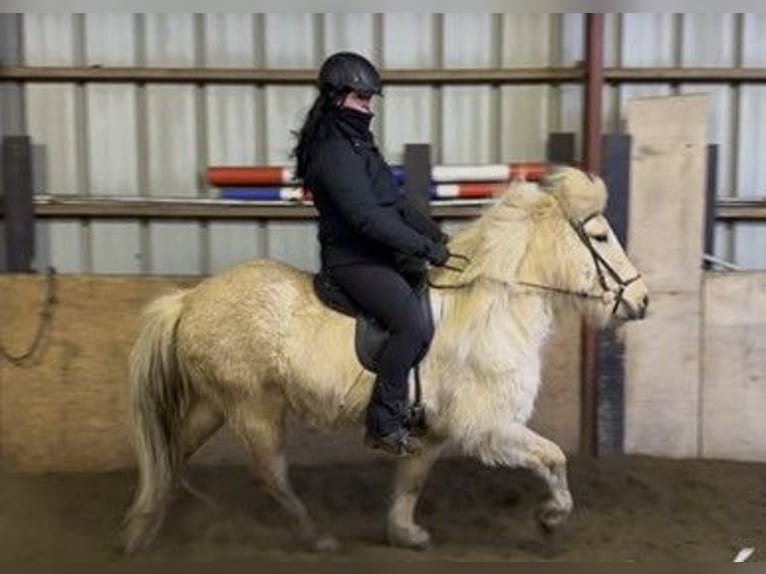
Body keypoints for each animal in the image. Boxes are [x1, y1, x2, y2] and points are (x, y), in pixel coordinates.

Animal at [123, 166, 652, 552]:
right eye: (601, 238)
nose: (642, 300)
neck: (490, 305)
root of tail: (188, 299)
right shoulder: (490, 426)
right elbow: (554, 457)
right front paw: (550, 518)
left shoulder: (434, 430)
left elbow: (411, 482)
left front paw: (406, 534)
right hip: (254, 409)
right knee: (270, 476)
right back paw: (316, 537)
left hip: (215, 405)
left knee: (171, 452)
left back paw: (141, 528)